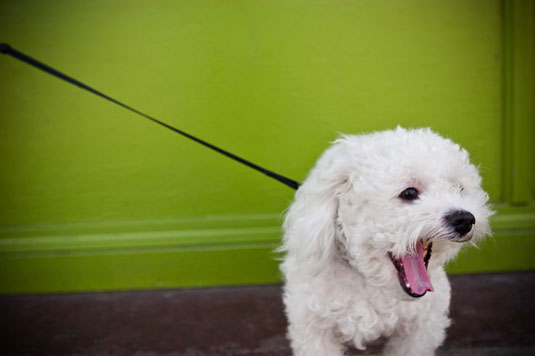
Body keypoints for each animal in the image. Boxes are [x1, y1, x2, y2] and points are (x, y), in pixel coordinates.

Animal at [280, 128, 494, 356]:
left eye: (459, 188)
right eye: (409, 193)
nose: (464, 219)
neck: (370, 283)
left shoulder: (420, 329)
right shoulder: (314, 329)